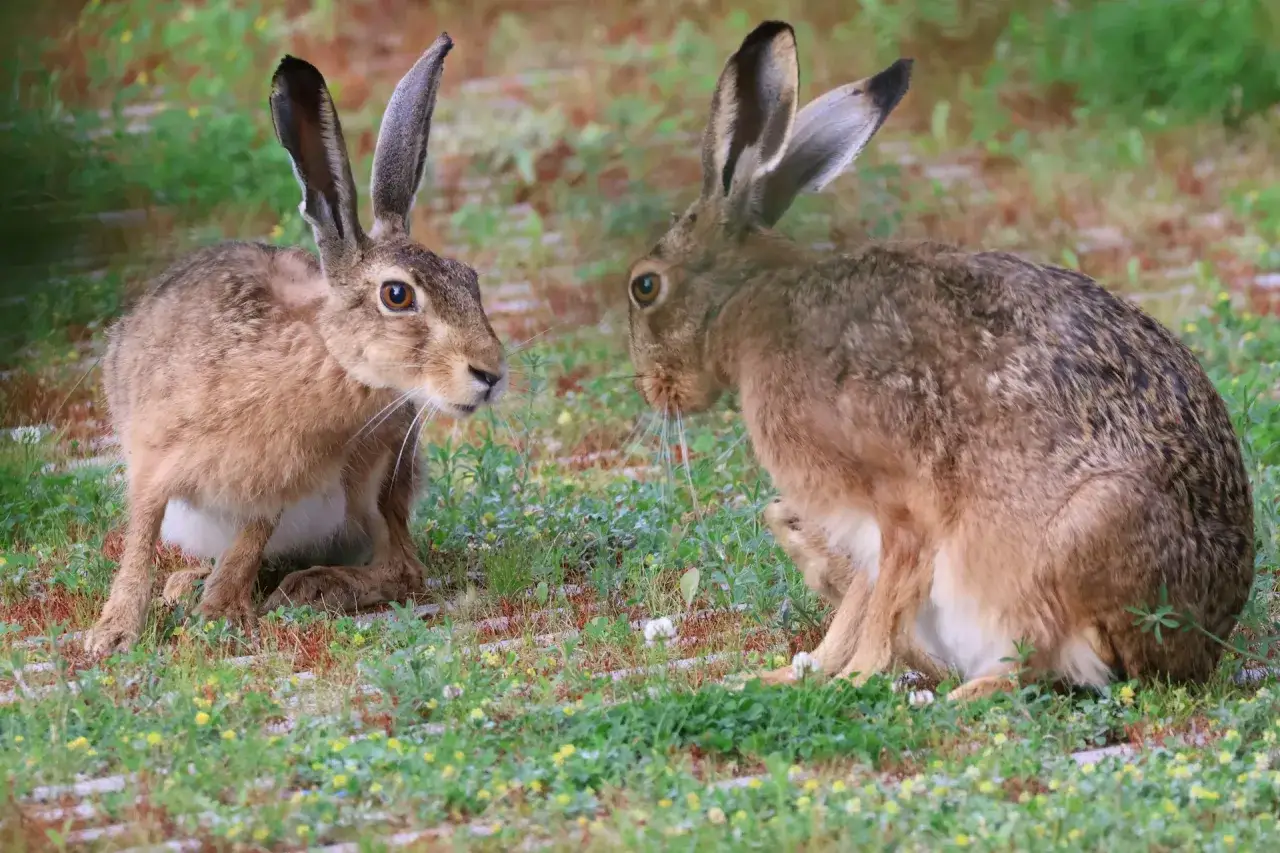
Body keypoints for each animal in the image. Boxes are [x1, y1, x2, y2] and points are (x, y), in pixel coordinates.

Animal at [85, 33, 507, 656]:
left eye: (469, 278)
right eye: (398, 295)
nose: (491, 372)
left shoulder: (274, 487)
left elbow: (248, 543)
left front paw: (221, 615)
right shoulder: (157, 460)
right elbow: (140, 538)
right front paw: (113, 633)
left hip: (376, 474)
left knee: (402, 566)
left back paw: (310, 586)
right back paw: (188, 584)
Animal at [624, 20, 1254, 700]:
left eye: (644, 286)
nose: (653, 390)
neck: (748, 307)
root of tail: (1204, 644)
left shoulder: (900, 504)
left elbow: (885, 601)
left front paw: (854, 679)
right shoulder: (861, 530)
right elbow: (859, 605)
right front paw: (794, 672)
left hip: (1079, 536)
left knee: (1041, 658)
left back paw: (955, 696)